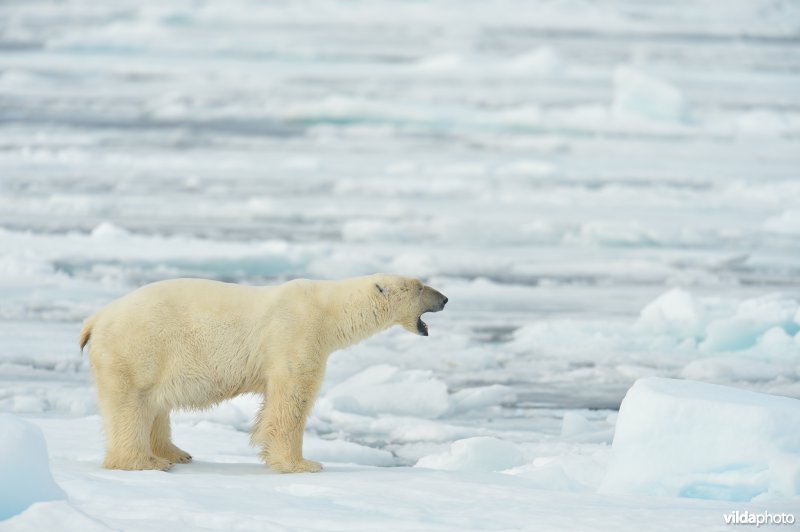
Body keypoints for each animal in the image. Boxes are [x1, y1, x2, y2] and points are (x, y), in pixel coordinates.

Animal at [81, 274, 450, 474]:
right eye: (420, 287)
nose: (445, 298)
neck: (329, 309)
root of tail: (96, 319)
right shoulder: (297, 333)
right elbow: (292, 397)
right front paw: (302, 464)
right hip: (137, 349)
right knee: (132, 405)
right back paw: (143, 461)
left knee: (156, 405)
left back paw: (174, 453)